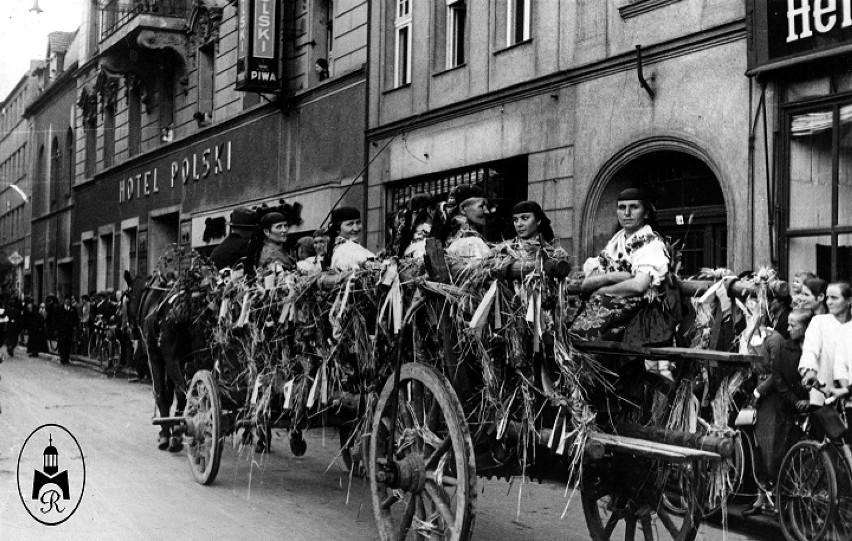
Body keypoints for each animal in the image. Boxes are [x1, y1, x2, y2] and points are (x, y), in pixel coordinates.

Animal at [124, 270, 192, 452]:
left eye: (127, 298)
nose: (131, 331)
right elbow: (169, 395)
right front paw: (170, 430)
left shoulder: (156, 357)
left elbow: (162, 394)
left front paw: (165, 434)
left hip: (173, 359)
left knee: (184, 393)